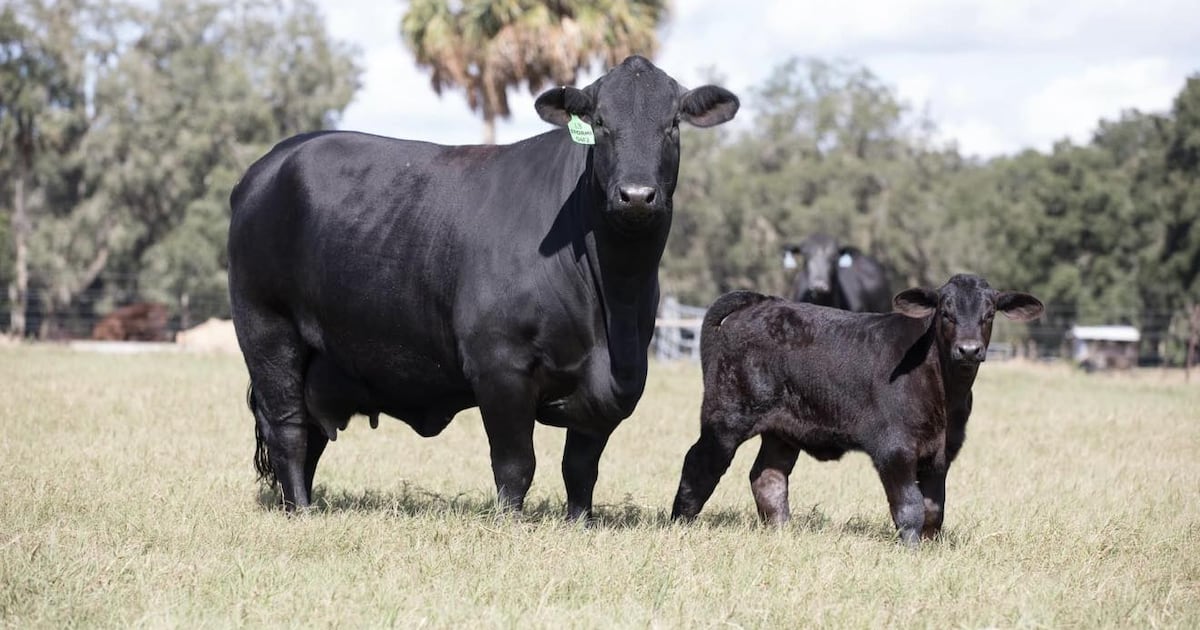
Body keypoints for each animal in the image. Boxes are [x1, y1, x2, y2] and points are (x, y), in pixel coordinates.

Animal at [227, 56, 739, 515]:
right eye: (599, 122)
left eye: (672, 124)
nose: (635, 195)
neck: (613, 302)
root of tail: (272, 162)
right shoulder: (499, 366)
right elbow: (516, 464)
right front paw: (508, 523)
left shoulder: (614, 384)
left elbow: (580, 467)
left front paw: (580, 522)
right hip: (267, 330)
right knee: (289, 429)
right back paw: (301, 511)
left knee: (310, 434)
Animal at [671, 274, 1043, 545]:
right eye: (945, 313)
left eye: (989, 314)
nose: (968, 349)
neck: (946, 393)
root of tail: (763, 302)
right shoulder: (894, 447)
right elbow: (910, 506)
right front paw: (911, 549)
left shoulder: (942, 453)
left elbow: (934, 509)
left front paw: (930, 548)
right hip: (727, 416)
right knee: (700, 462)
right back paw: (680, 523)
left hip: (782, 429)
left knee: (768, 476)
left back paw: (782, 532)